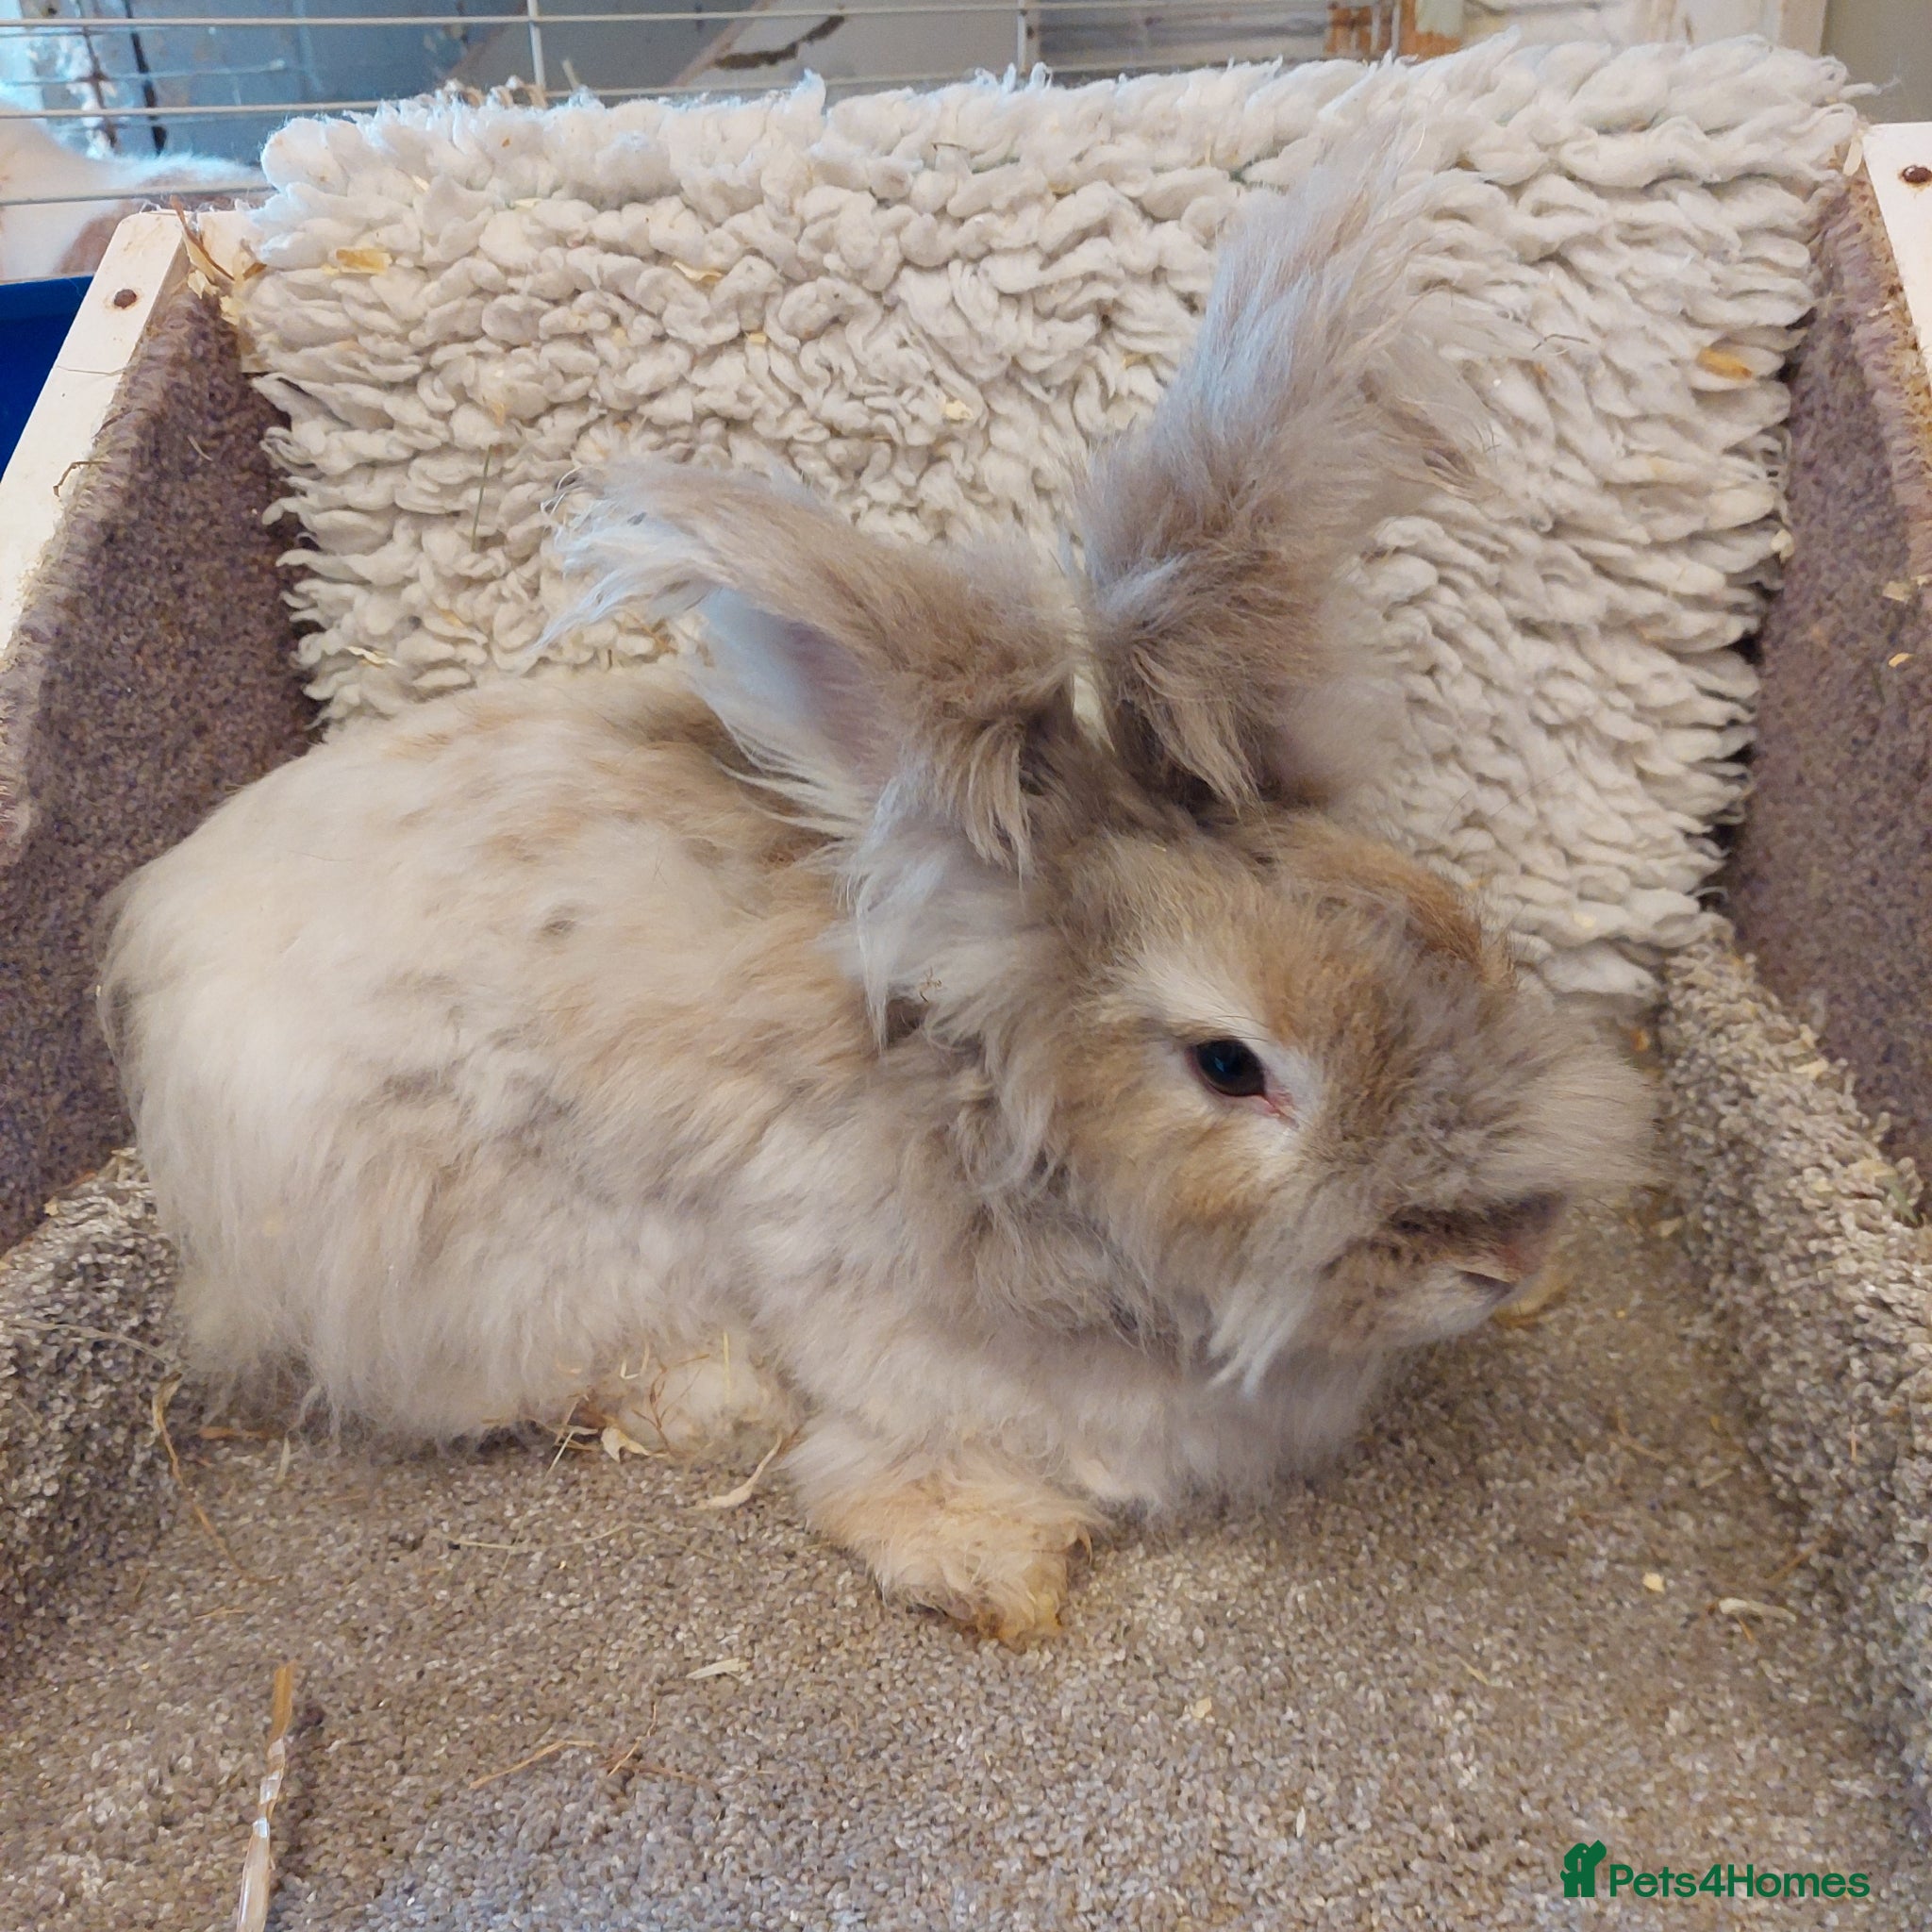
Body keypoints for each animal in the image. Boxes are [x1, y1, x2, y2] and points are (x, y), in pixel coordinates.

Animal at [100, 153, 1650, 1642]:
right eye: (1229, 1066)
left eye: (1450, 920)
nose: (1508, 1256)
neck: (995, 1113)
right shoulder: (876, 1338)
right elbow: (897, 1470)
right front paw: (991, 1570)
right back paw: (711, 1399)